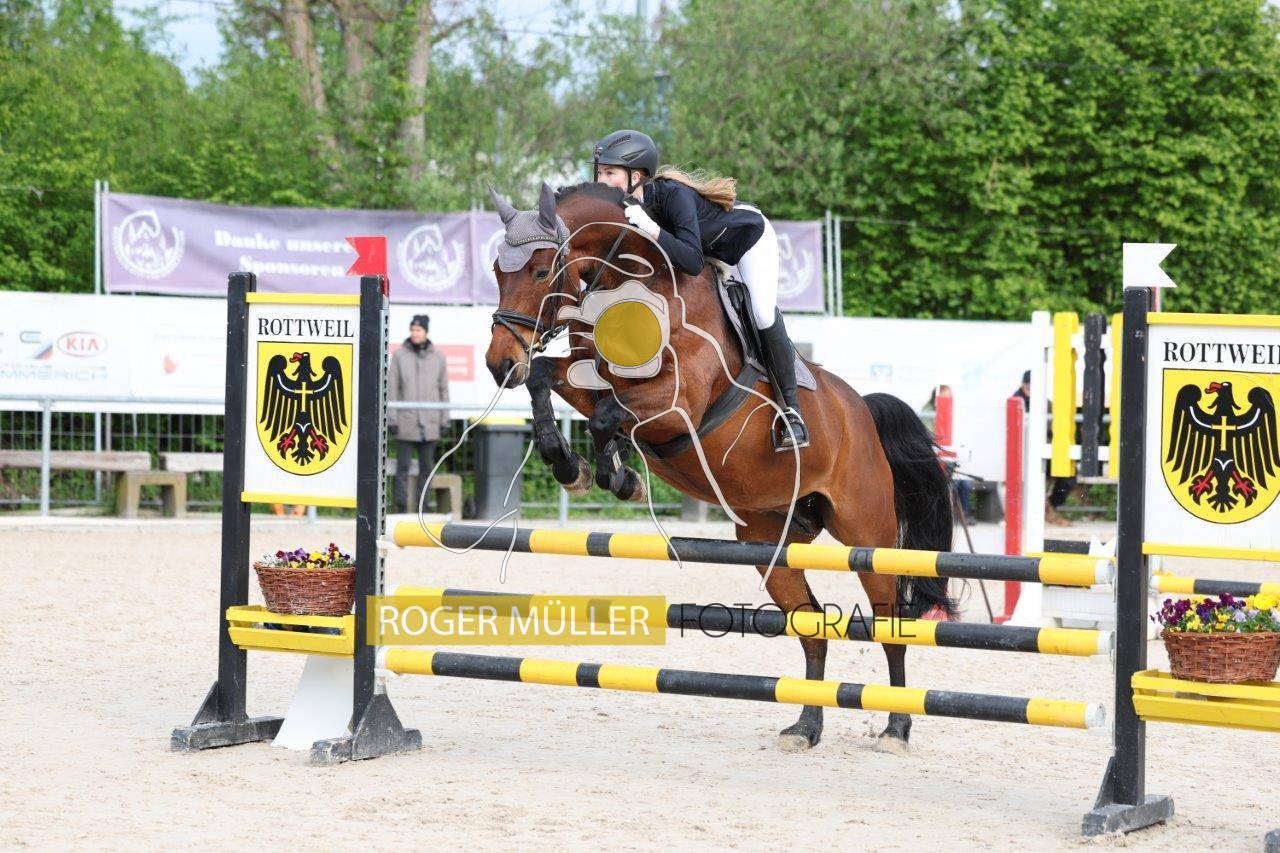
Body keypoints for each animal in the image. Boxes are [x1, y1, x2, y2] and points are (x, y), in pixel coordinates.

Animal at [484, 181, 953, 752]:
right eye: (496, 270)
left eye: (538, 270)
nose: (498, 363)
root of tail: (861, 409)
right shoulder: (586, 373)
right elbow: (552, 383)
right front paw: (577, 467)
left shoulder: (679, 400)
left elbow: (607, 414)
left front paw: (617, 475)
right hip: (771, 541)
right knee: (813, 627)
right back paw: (806, 727)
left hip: (867, 534)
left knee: (890, 622)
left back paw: (895, 728)